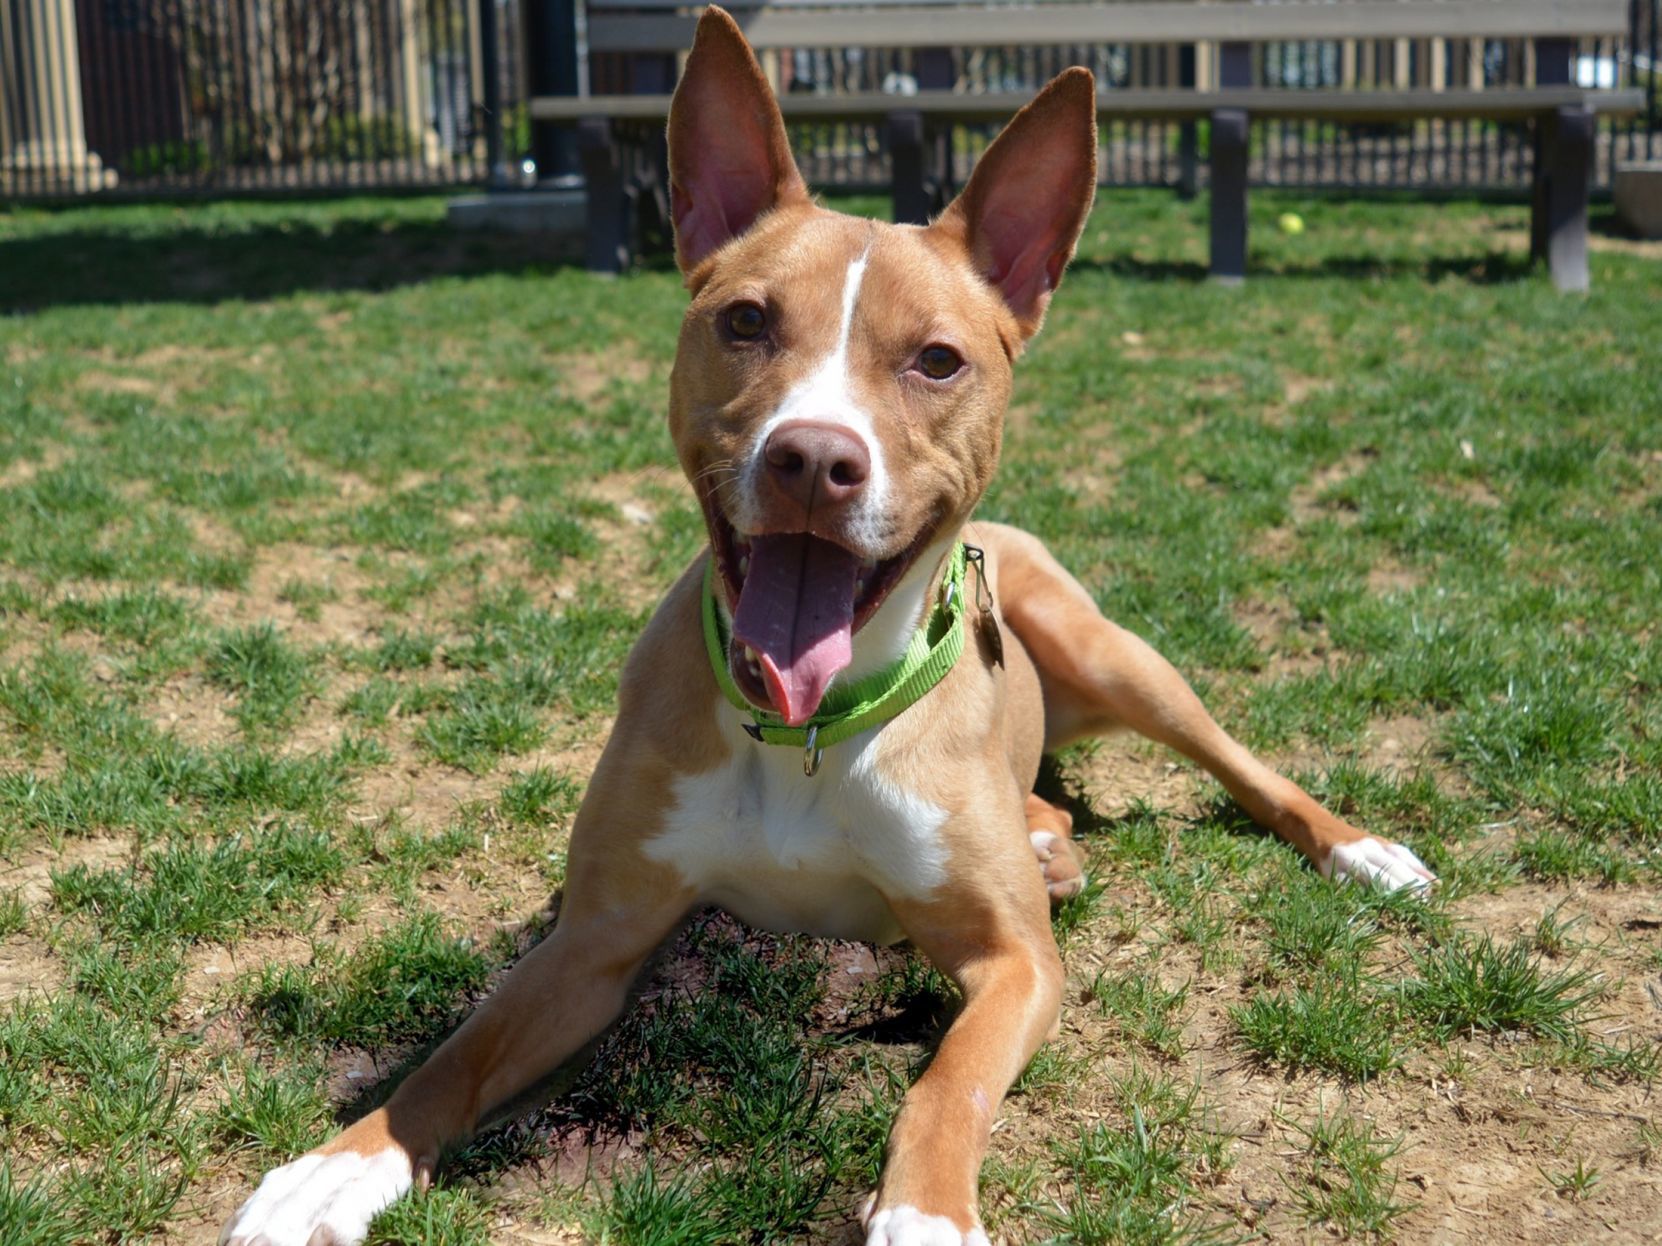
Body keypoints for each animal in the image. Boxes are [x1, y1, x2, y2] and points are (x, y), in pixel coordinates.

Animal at [224, 12, 1429, 1246]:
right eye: (745, 320)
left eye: (938, 359)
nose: (813, 457)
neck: (811, 727)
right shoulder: (594, 941)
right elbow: (456, 1053)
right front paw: (342, 1164)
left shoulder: (1014, 963)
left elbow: (951, 1080)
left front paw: (926, 1211)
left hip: (1116, 658)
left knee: (1245, 768)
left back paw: (1360, 850)